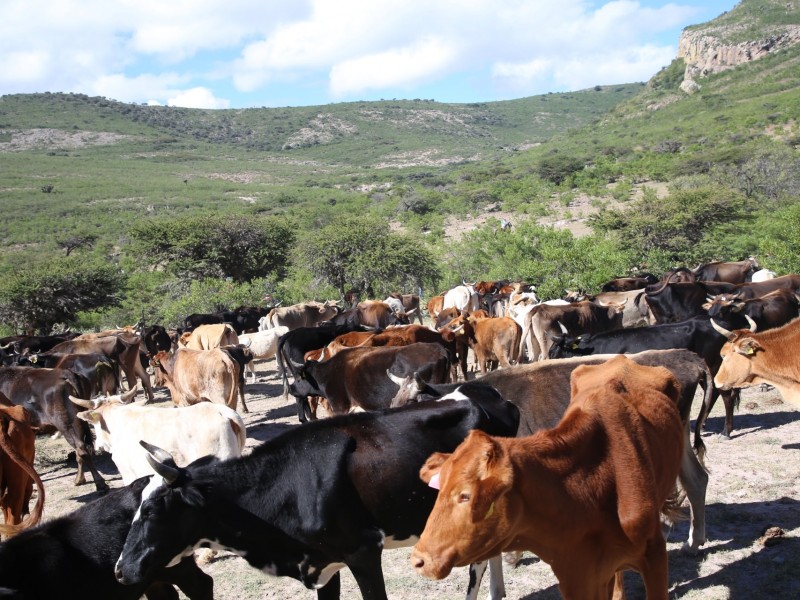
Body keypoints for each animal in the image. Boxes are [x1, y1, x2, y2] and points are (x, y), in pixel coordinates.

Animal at [115, 390, 520, 600]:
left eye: (152, 511)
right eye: (134, 510)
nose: (120, 570)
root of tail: (488, 395)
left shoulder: (364, 551)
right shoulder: (323, 564)